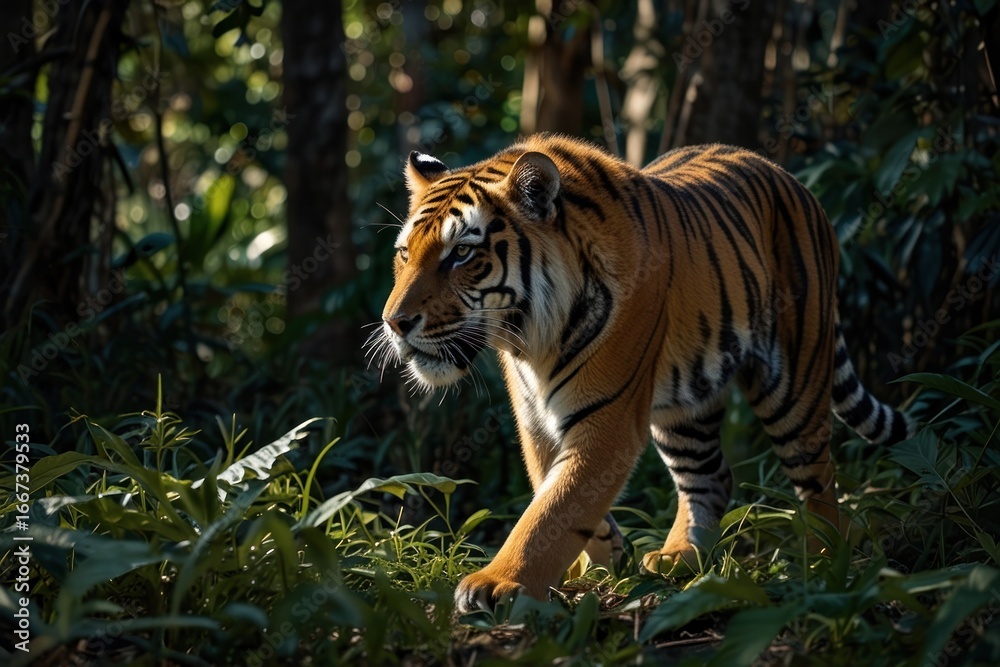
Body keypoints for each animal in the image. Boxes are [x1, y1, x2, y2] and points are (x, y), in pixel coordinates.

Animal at [370, 133, 914, 614]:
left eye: (461, 253)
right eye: (404, 253)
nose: (394, 322)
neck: (530, 340)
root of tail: (793, 179)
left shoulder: (606, 418)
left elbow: (552, 510)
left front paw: (499, 583)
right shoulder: (535, 419)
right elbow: (555, 490)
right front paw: (602, 558)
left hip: (794, 383)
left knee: (818, 477)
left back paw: (824, 564)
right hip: (685, 408)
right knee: (710, 476)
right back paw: (678, 559)